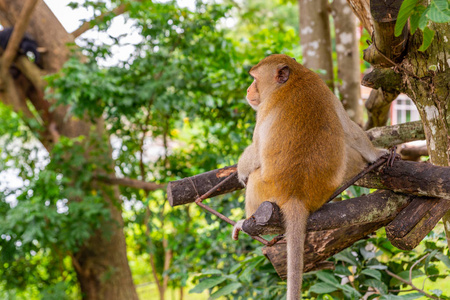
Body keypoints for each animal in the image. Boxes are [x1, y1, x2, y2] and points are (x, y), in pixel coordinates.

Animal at [232, 54, 386, 300]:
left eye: (254, 79)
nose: (248, 90)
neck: (295, 79)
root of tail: (297, 197)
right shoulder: (323, 87)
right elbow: (351, 129)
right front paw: (377, 153)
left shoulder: (264, 109)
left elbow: (256, 150)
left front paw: (240, 171)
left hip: (266, 190)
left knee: (255, 178)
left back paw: (245, 222)